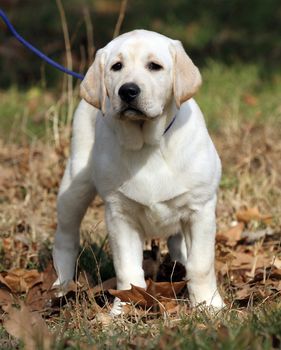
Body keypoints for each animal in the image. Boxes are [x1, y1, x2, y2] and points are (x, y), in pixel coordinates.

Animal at [52, 30, 223, 314]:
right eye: (116, 67)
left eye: (154, 66)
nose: (128, 91)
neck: (148, 144)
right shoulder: (120, 216)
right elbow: (128, 271)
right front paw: (124, 311)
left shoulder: (200, 209)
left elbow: (201, 265)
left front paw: (209, 306)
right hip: (74, 185)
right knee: (65, 237)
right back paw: (61, 286)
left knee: (178, 243)